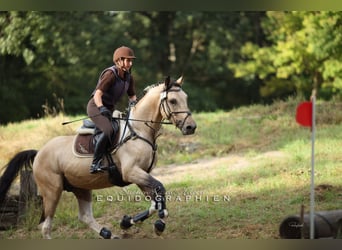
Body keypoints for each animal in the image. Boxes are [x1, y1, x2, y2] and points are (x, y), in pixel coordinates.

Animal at [0, 75, 196, 238]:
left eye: (186, 99)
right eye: (172, 100)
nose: (191, 127)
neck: (140, 131)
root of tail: (39, 152)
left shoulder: (141, 175)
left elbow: (155, 202)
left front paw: (128, 222)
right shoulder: (131, 172)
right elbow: (160, 189)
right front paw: (159, 221)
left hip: (81, 187)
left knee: (84, 216)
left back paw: (108, 234)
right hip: (52, 190)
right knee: (46, 226)